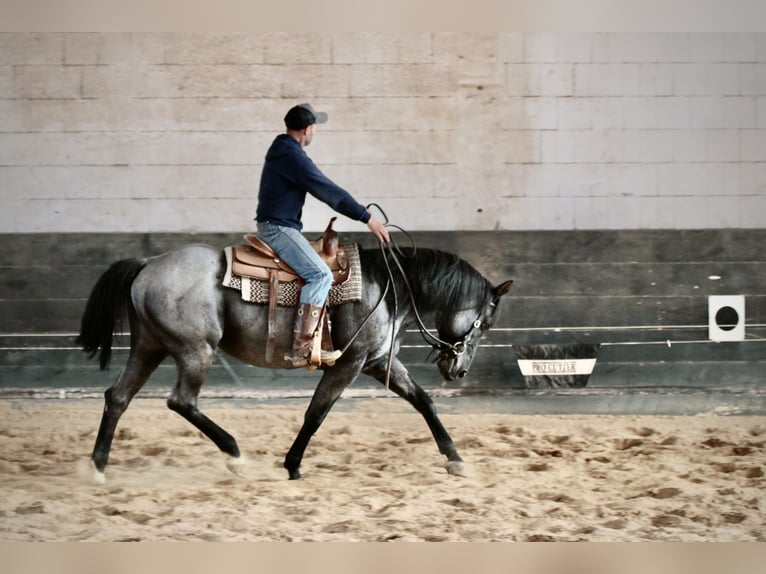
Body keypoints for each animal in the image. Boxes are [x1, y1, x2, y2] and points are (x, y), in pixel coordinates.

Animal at [77, 239, 513, 480]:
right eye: (487, 323)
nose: (460, 370)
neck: (387, 289)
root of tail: (149, 264)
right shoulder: (349, 363)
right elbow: (316, 413)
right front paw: (292, 465)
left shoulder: (377, 361)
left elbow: (424, 402)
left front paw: (456, 460)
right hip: (195, 350)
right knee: (181, 401)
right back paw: (235, 454)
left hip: (149, 347)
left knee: (117, 397)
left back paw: (97, 467)